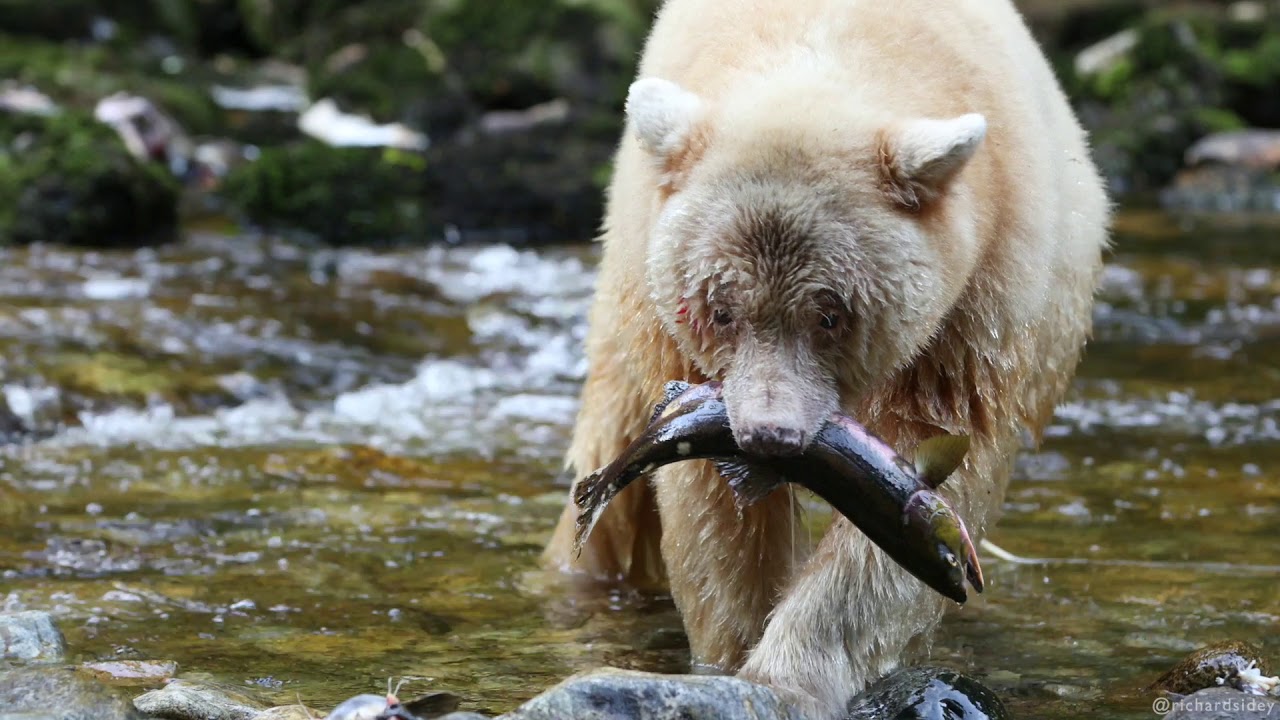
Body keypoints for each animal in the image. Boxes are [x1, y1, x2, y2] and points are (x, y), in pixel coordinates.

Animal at [542, 0, 1112, 717]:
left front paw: (790, 674)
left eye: (831, 313)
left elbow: (904, 509)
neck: (828, 41)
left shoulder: (976, 312)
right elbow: (715, 513)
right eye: (720, 308)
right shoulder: (681, 343)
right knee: (612, 445)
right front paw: (731, 658)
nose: (768, 436)